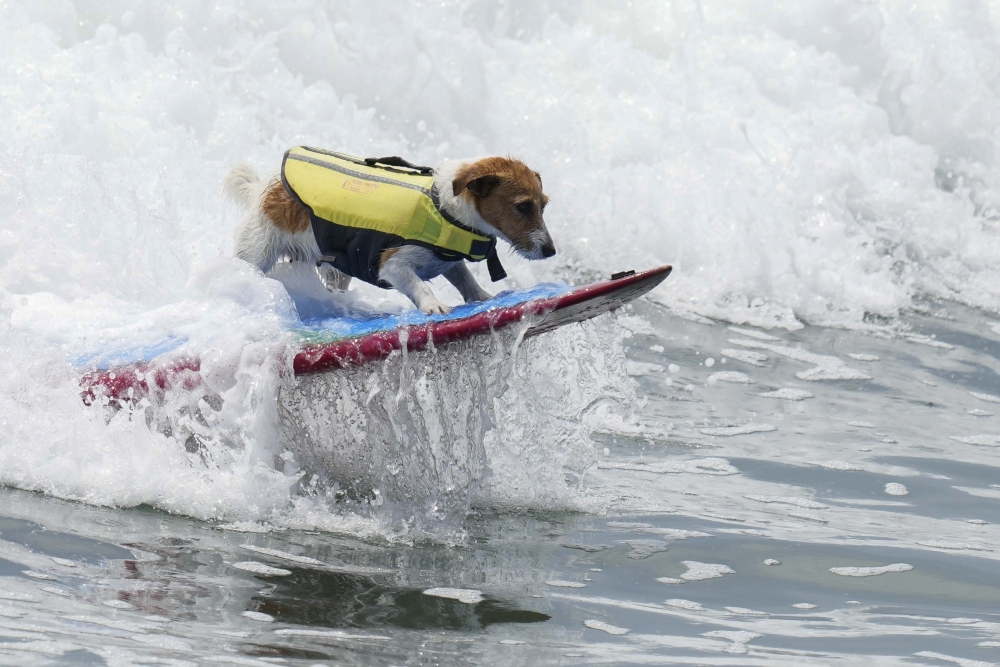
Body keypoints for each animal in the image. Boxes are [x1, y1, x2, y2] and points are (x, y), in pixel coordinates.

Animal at [222, 150, 560, 318]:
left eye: (543, 205)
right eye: (523, 207)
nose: (551, 251)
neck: (444, 208)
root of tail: (265, 190)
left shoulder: (448, 261)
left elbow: (464, 278)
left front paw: (481, 297)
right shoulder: (393, 265)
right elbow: (419, 285)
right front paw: (433, 305)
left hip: (334, 270)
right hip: (256, 253)